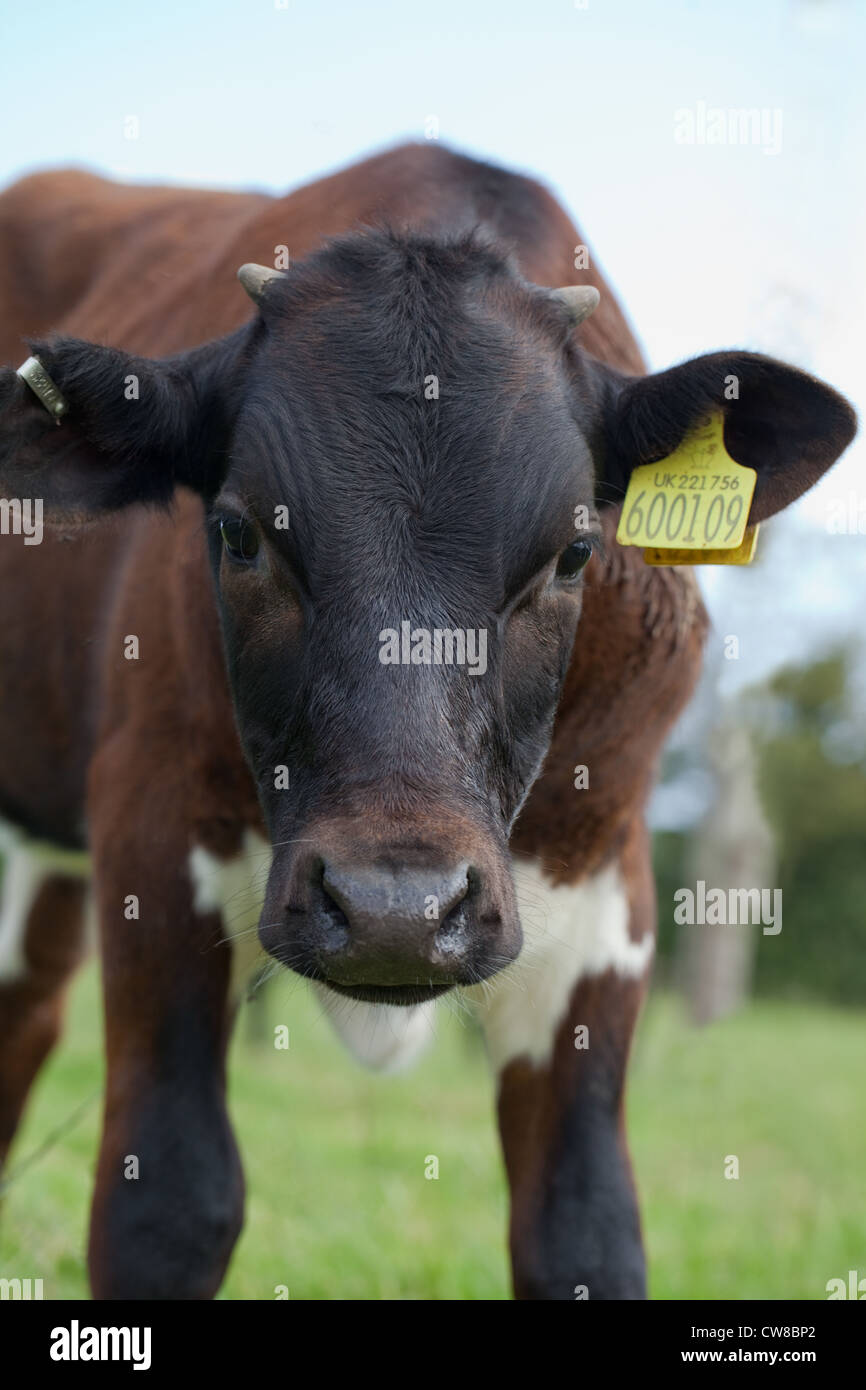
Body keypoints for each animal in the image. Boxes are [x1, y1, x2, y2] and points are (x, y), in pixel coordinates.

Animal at [0, 146, 856, 1295]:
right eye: (237, 532)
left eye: (574, 552)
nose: (393, 911)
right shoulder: (150, 818)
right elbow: (171, 1201)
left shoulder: (608, 895)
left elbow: (584, 1228)